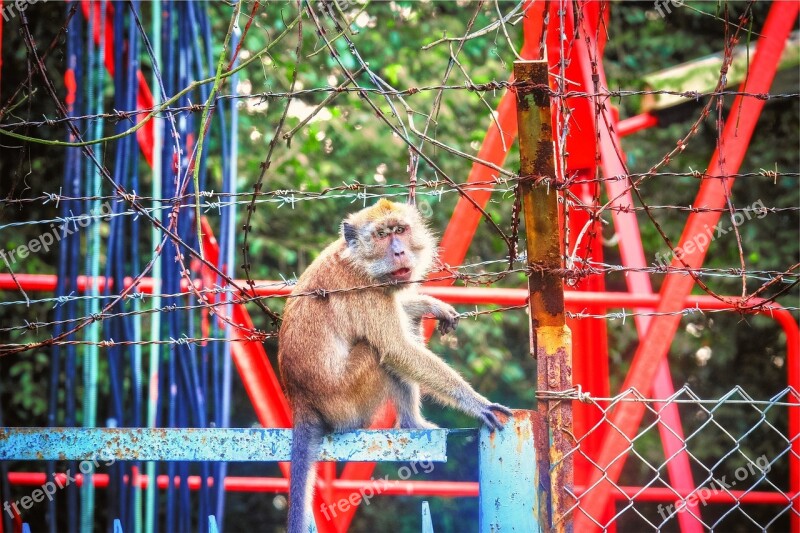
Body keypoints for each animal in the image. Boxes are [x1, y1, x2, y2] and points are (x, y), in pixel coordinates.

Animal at [278, 197, 510, 528]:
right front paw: (476, 403)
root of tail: (300, 399)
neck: (358, 260)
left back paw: (412, 423)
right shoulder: (366, 289)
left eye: (400, 230)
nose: (399, 250)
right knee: (379, 352)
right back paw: (412, 422)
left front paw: (429, 304)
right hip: (347, 403)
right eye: (381, 235)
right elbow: (397, 349)